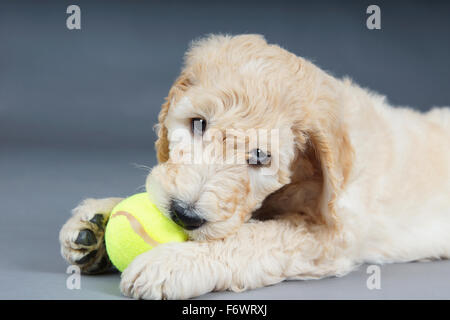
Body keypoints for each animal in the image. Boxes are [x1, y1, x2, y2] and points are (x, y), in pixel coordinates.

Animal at [59, 33, 450, 298]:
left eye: (261, 157)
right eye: (198, 123)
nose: (184, 215)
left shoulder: (330, 236)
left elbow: (251, 238)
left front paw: (172, 262)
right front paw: (98, 220)